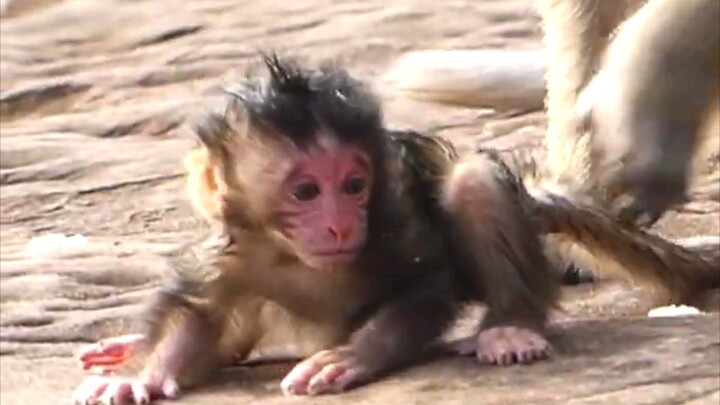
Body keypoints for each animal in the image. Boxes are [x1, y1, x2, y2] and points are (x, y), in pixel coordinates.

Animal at [71, 54, 556, 404]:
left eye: (354, 186)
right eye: (305, 192)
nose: (340, 226)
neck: (293, 255)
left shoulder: (394, 220)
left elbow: (423, 285)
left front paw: (351, 355)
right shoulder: (230, 253)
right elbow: (194, 312)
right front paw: (142, 375)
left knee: (471, 182)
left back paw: (510, 326)